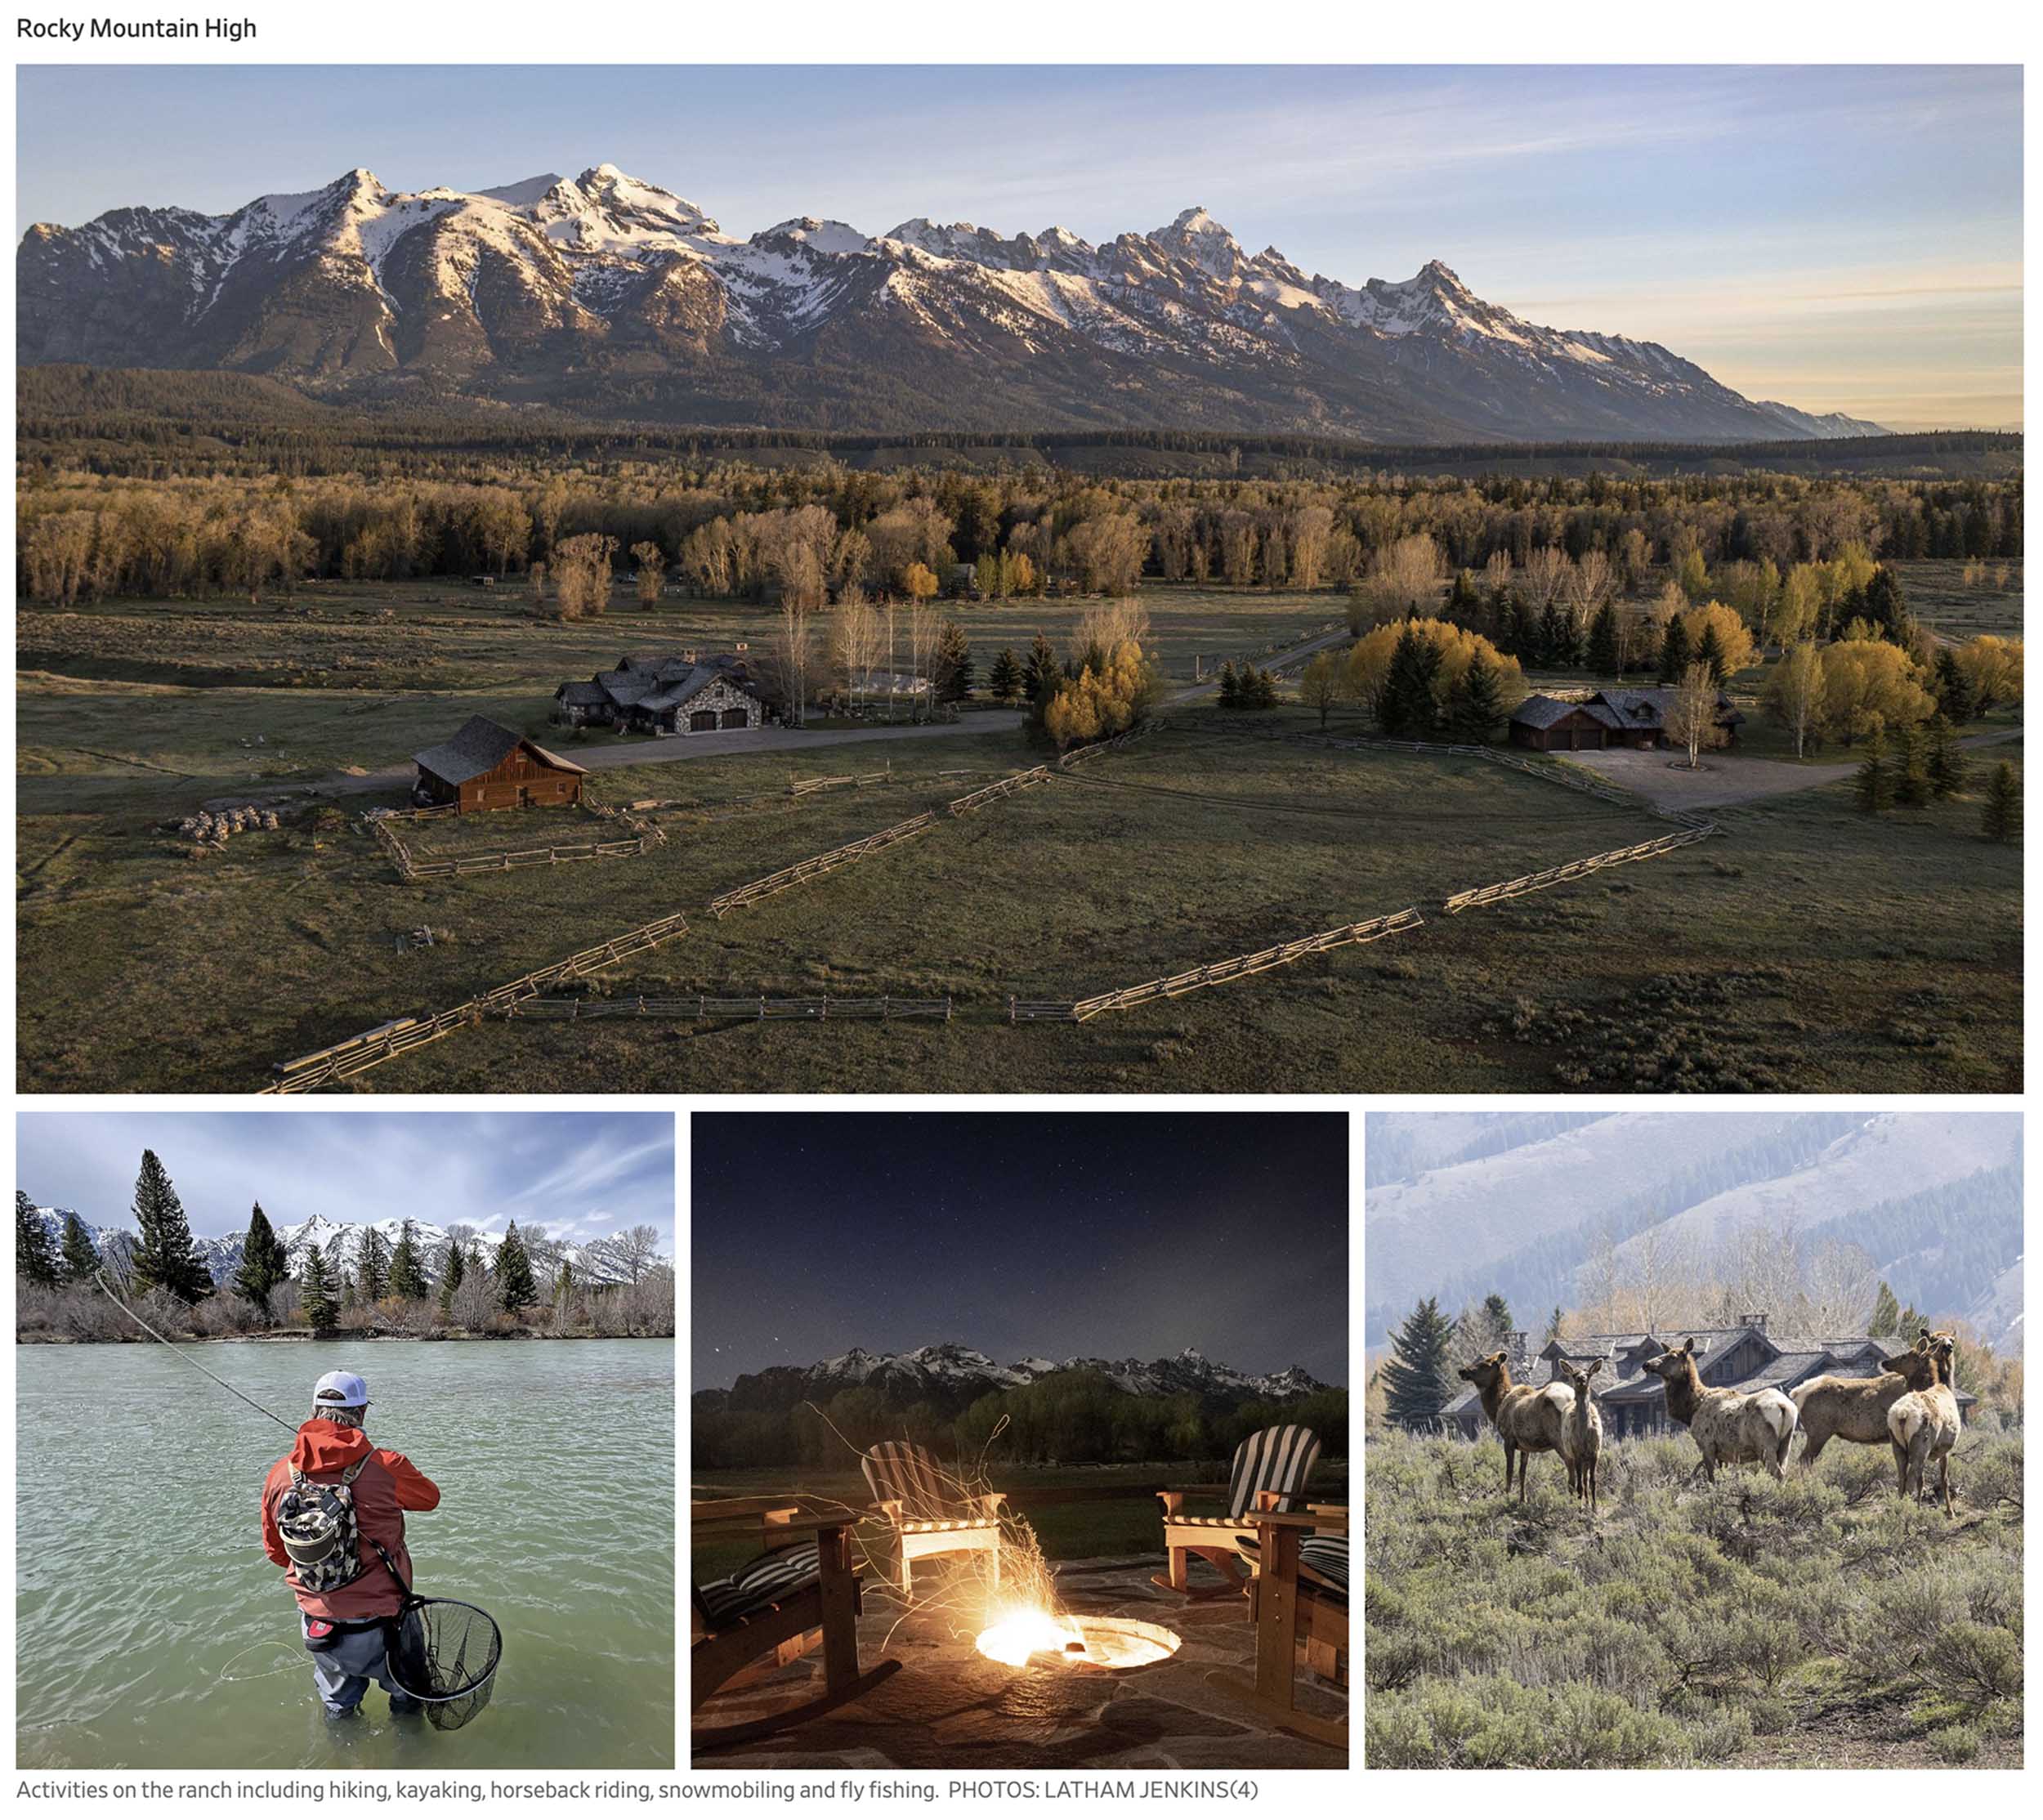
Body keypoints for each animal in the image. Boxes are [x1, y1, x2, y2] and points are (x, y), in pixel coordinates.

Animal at [1455, 1348, 1561, 1503]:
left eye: (1485, 1364)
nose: (1462, 1371)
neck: (1497, 1406)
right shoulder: (1525, 1446)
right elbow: (1522, 1471)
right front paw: (1523, 1499)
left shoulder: (1509, 1439)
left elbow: (1509, 1470)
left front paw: (1507, 1496)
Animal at [1553, 1356, 1602, 1519]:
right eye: (1574, 1374)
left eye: (1588, 1373)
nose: (1581, 1379)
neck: (1584, 1436)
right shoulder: (1577, 1453)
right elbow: (1579, 1484)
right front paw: (1580, 1509)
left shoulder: (1595, 1453)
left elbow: (1593, 1482)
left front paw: (1594, 1508)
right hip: (1569, 1454)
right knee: (1574, 1481)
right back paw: (1576, 1502)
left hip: (1586, 1459)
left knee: (1585, 1480)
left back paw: (1586, 1503)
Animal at [1634, 1339, 1798, 1478]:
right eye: (1667, 1352)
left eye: (1673, 1356)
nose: (1646, 1364)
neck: (1691, 1410)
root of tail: (1784, 1406)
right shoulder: (1723, 1453)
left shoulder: (1707, 1444)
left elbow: (1712, 1478)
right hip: (1786, 1444)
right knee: (1784, 1472)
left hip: (1764, 1444)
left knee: (1777, 1473)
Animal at [1880, 1331, 1961, 1519]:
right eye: (1936, 1339)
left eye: (1904, 1356)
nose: (1885, 1362)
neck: (1942, 1384)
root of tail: (1902, 1415)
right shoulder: (1945, 1449)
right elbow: (1944, 1480)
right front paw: (1950, 1512)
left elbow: (1925, 1480)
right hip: (1921, 1443)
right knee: (1912, 1479)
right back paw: (1909, 1511)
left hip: (1897, 1443)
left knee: (1902, 1478)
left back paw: (1899, 1509)